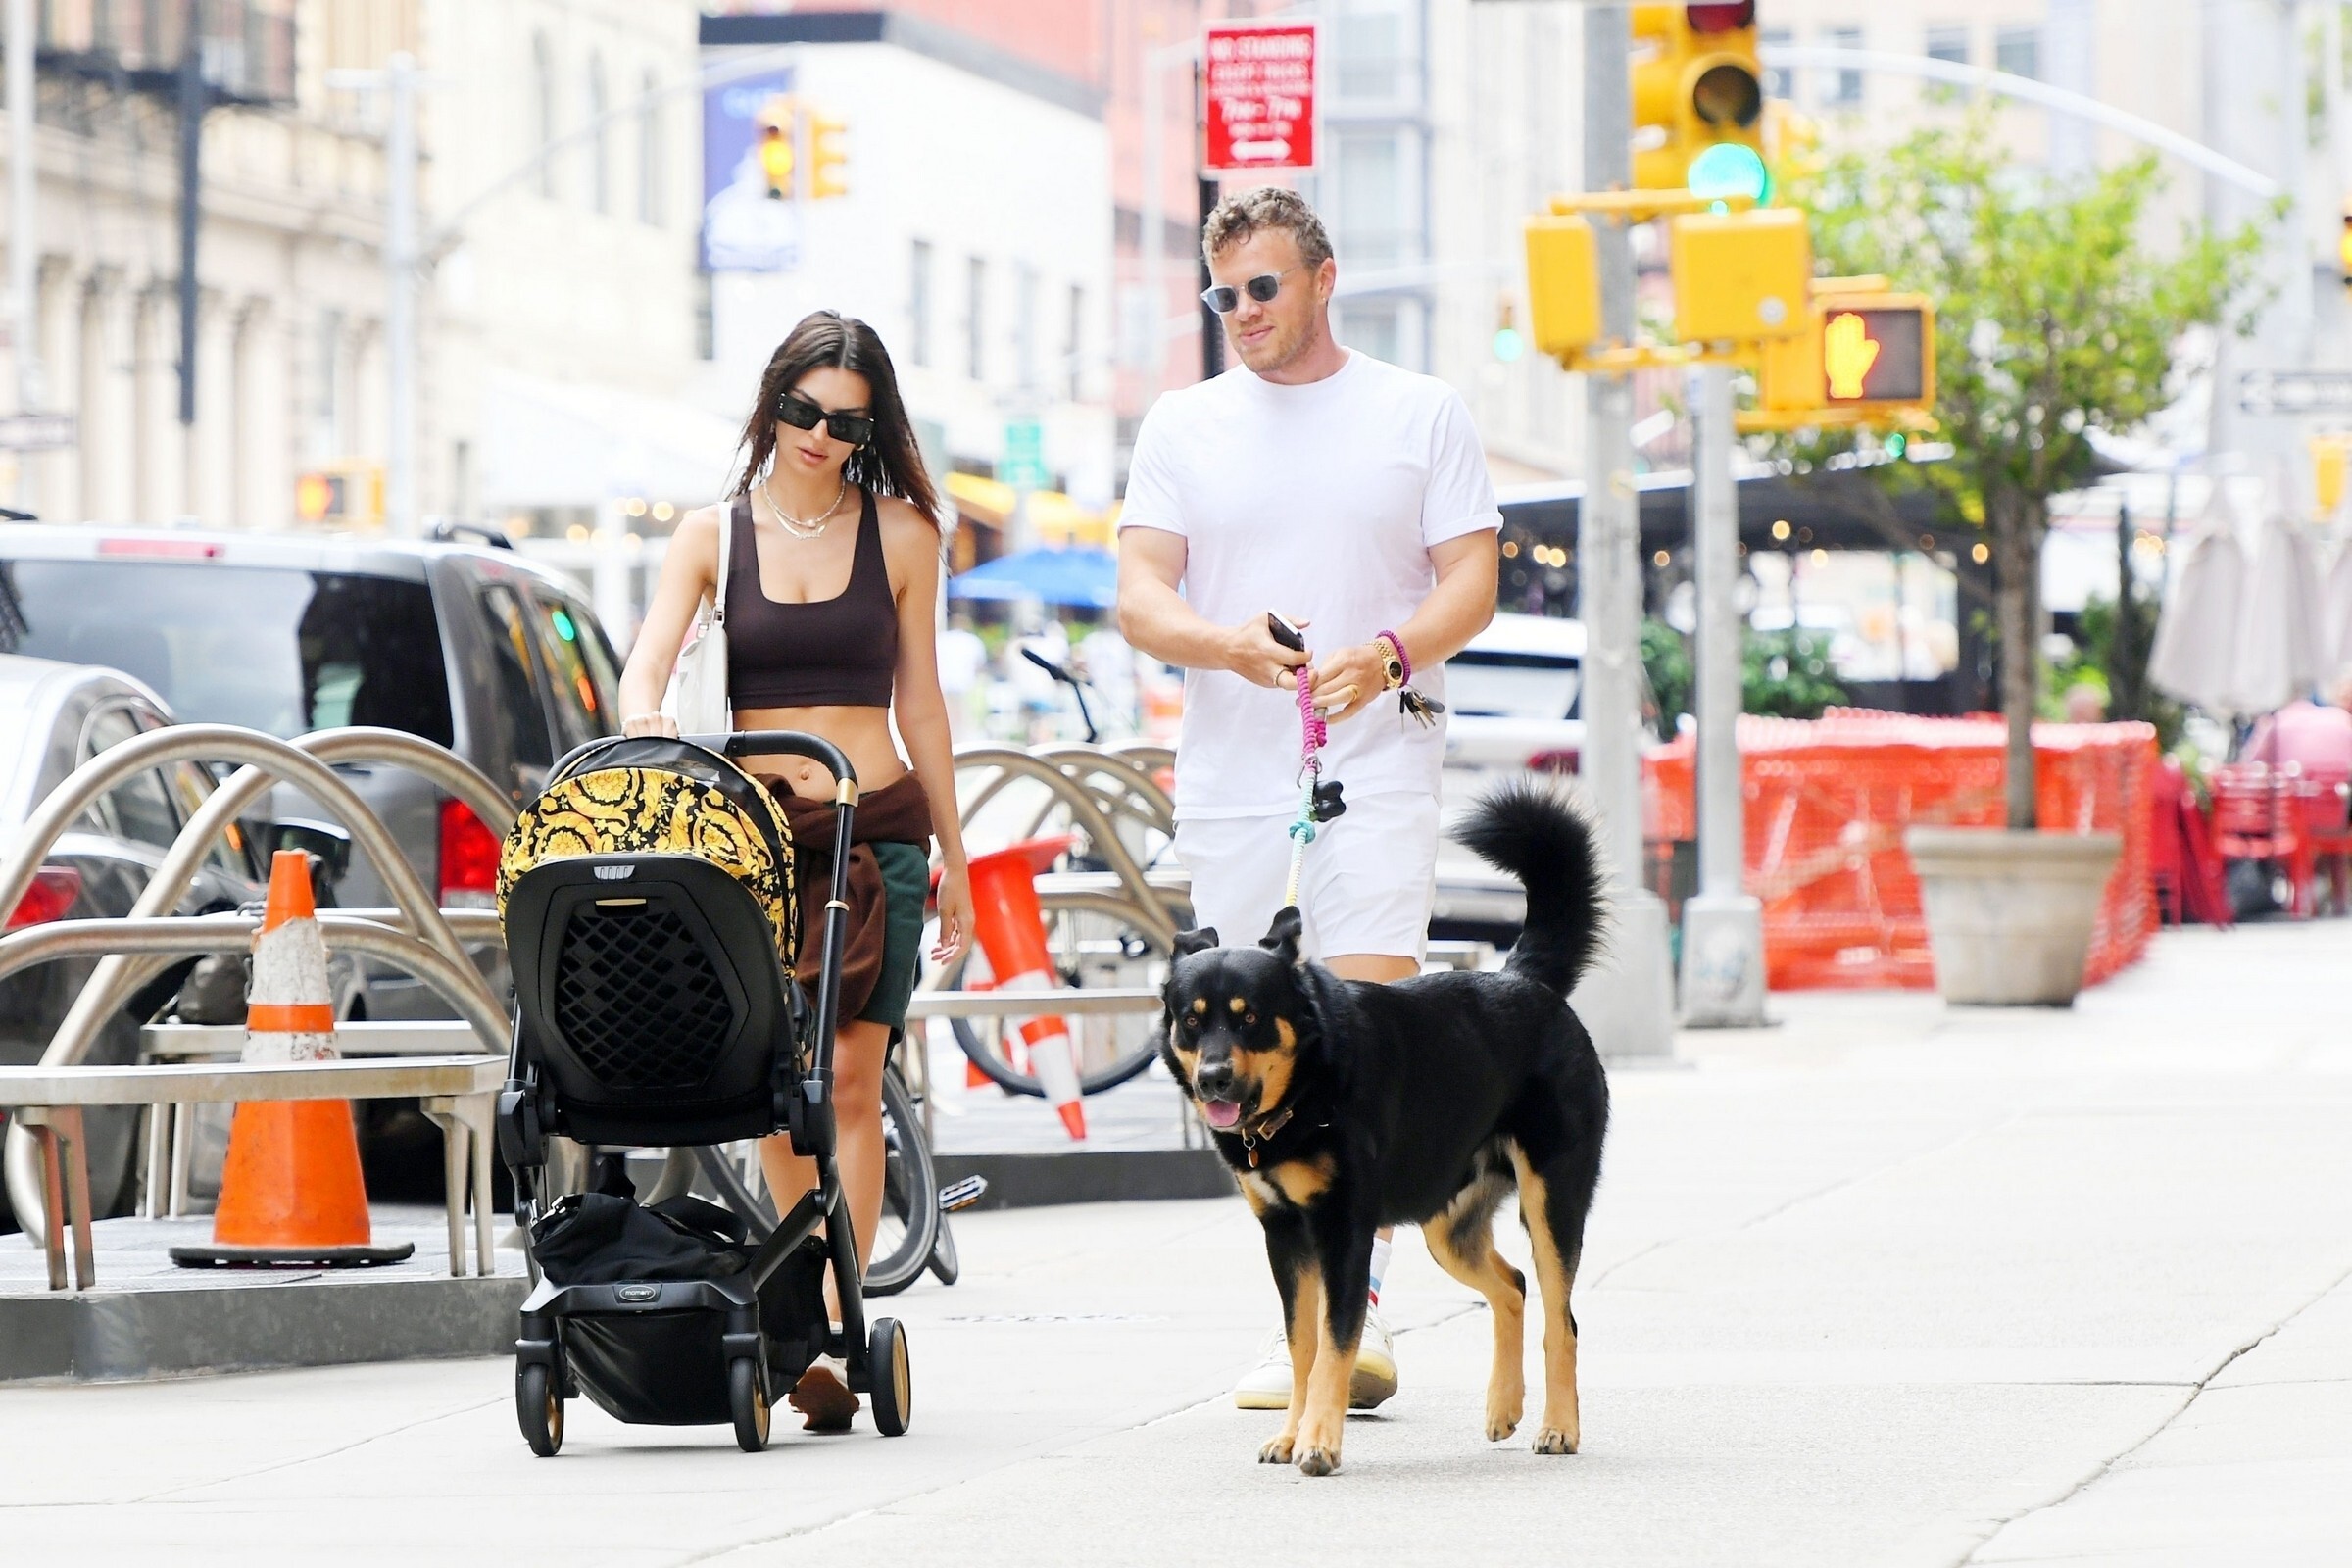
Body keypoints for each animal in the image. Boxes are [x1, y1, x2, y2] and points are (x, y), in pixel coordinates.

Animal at [1160, 780, 1610, 1477]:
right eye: (1191, 1020)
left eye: (1250, 1018)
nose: (1212, 1078)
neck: (1310, 1087)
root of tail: (1523, 980)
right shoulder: (1285, 1237)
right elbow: (1303, 1347)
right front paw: (1291, 1433)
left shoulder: (1345, 1230)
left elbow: (1335, 1345)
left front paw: (1319, 1442)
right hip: (1448, 1225)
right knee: (1511, 1287)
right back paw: (1503, 1407)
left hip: (1550, 1200)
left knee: (1561, 1319)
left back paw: (1558, 1427)